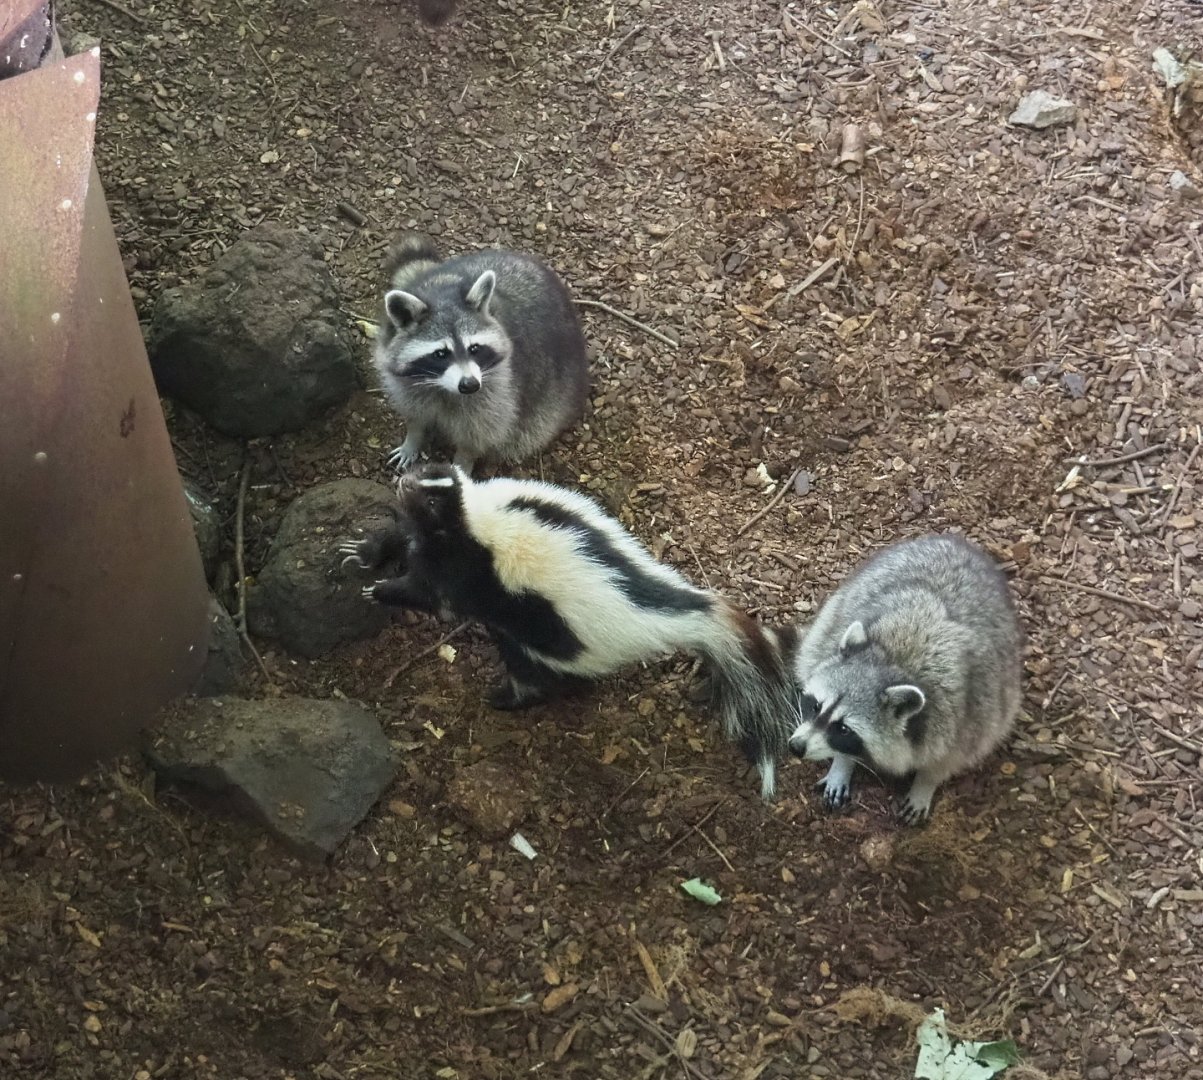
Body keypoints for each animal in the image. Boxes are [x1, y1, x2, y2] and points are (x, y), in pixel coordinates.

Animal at [372, 232, 590, 475]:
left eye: (474, 348)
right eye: (440, 354)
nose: (470, 385)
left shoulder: (498, 389)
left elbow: (477, 435)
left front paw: (462, 465)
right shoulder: (404, 381)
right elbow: (415, 414)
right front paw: (413, 439)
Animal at [787, 533, 1022, 824]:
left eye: (843, 729)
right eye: (816, 705)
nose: (796, 747)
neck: (894, 664)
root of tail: (957, 541)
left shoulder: (967, 716)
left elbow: (949, 756)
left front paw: (925, 783)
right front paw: (843, 763)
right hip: (835, 613)